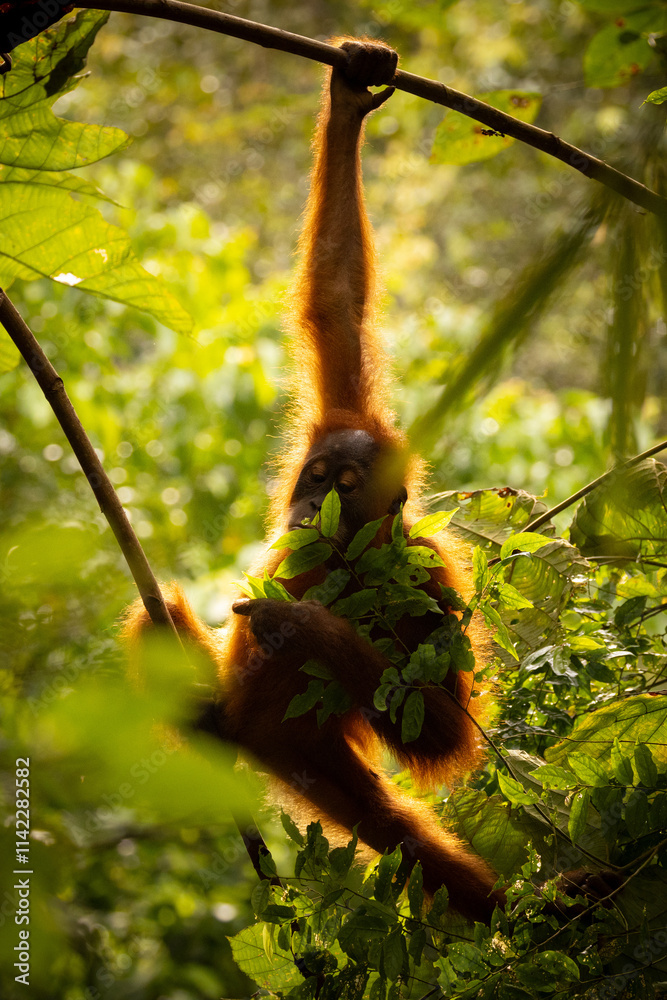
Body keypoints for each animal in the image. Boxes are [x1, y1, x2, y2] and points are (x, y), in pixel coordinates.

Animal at [124, 39, 505, 925]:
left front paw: (302, 628)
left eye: (342, 488)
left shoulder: (429, 578)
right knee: (159, 618)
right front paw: (349, 95)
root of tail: (247, 736)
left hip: (305, 750)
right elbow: (335, 299)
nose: (304, 508)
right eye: (314, 476)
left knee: (392, 827)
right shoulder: (338, 409)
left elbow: (444, 730)